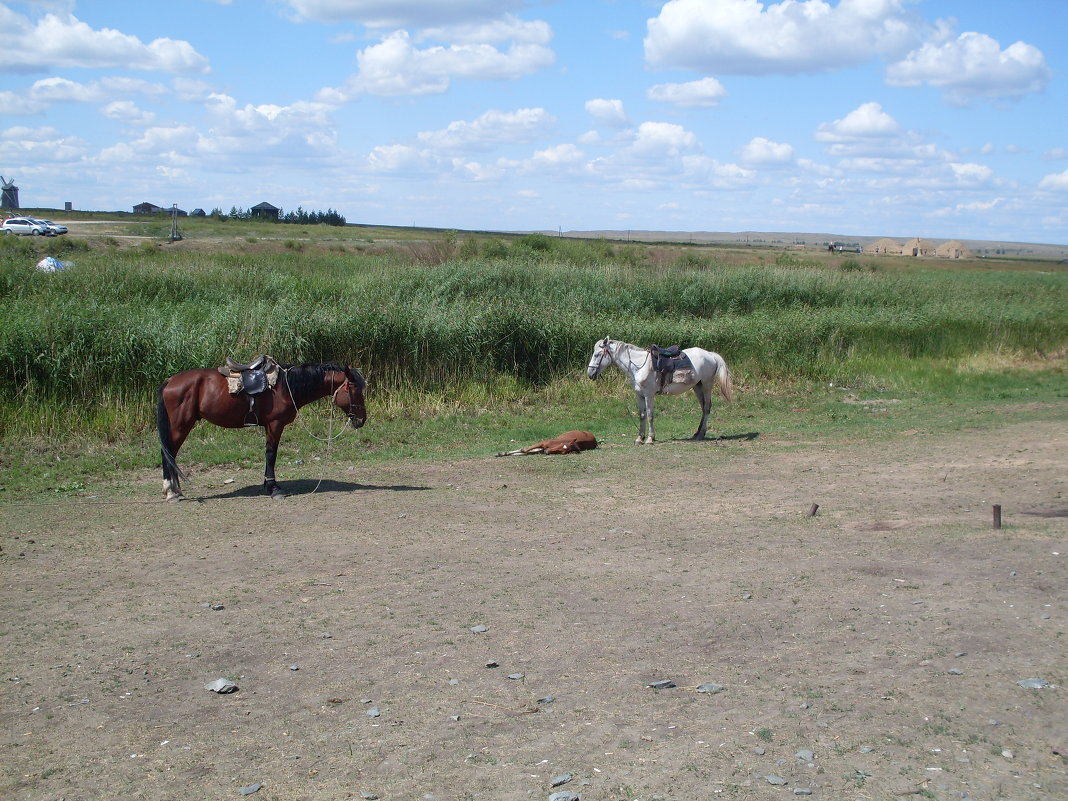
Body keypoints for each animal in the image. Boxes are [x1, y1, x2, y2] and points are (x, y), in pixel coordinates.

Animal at [156, 363, 367, 501]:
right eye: (354, 389)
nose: (362, 419)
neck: (285, 386)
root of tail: (169, 381)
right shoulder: (275, 424)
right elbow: (271, 454)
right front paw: (274, 489)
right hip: (181, 425)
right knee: (168, 453)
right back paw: (172, 492)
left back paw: (175, 490)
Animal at [589, 337, 730, 446]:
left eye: (597, 354)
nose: (590, 373)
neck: (639, 366)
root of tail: (710, 355)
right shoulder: (639, 395)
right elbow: (642, 415)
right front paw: (639, 438)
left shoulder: (649, 395)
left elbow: (650, 415)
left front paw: (650, 438)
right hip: (697, 386)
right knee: (703, 407)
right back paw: (697, 433)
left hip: (706, 385)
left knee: (706, 408)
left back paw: (701, 434)